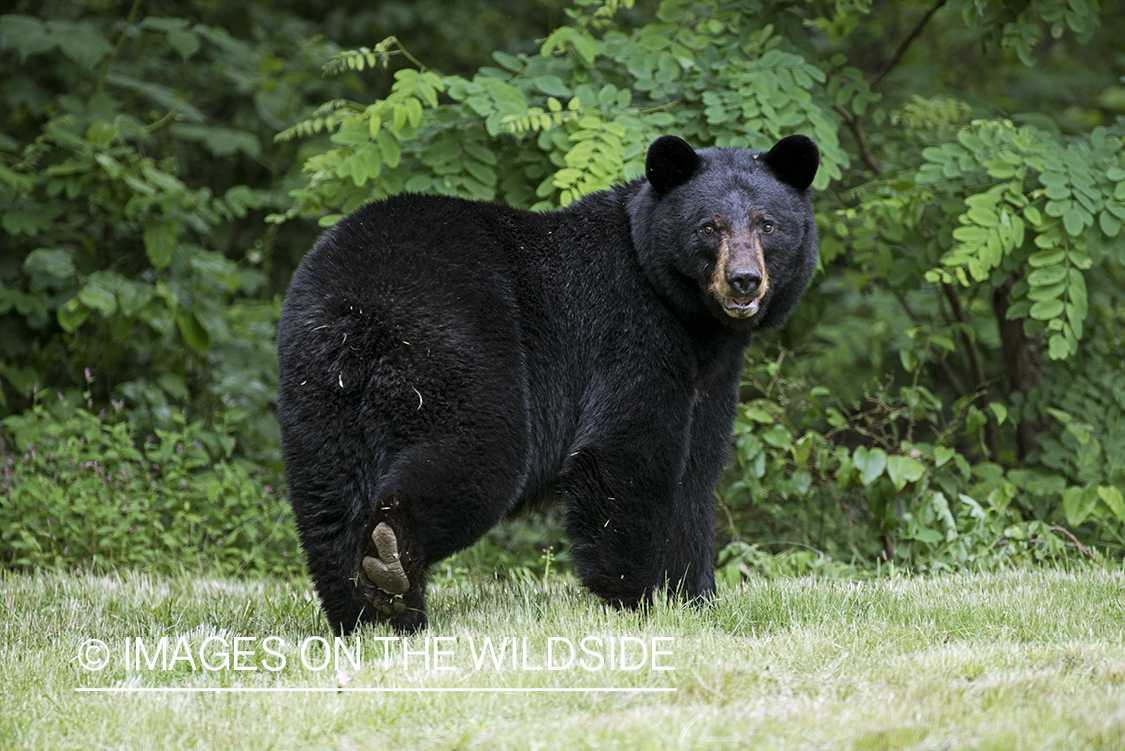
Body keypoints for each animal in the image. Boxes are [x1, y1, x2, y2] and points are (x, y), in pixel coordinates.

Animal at [276, 134, 819, 634]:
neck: (689, 316)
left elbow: (696, 471)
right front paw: (641, 598)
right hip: (460, 346)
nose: (743, 280)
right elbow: (627, 453)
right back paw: (393, 564)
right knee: (480, 452)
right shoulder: (631, 333)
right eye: (710, 227)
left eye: (767, 224)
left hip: (319, 389)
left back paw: (370, 612)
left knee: (329, 498)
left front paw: (696, 599)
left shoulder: (710, 372)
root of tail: (360, 310)